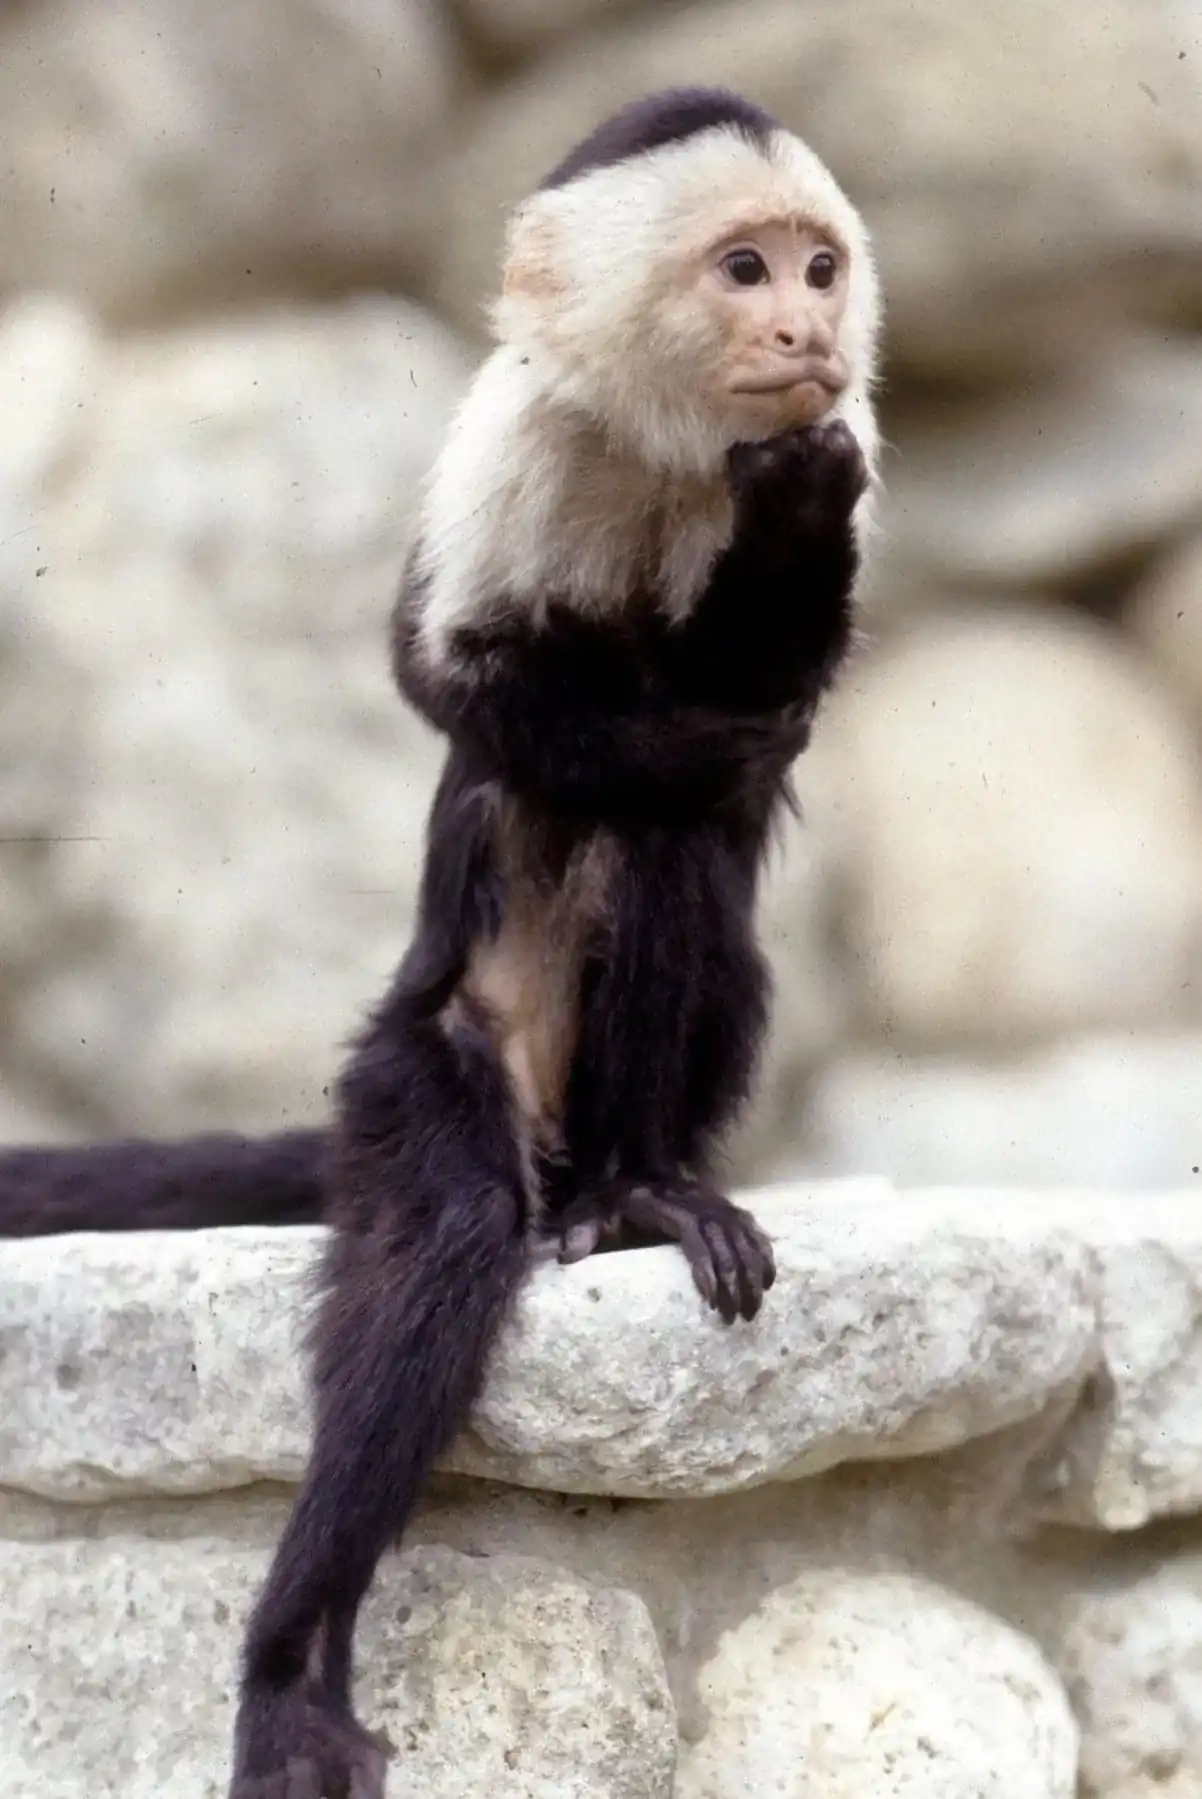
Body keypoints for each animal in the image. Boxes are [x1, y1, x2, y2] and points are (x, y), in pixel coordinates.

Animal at [0, 87, 881, 1797]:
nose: (804, 326)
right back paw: (289, 1661)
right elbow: (451, 676)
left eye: (818, 268)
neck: (666, 453)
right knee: (451, 1230)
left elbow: (764, 695)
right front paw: (643, 712)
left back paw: (639, 1186)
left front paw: (785, 513)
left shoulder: (855, 439)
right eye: (744, 269)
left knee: (674, 884)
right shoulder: (511, 442)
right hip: (419, 1068)